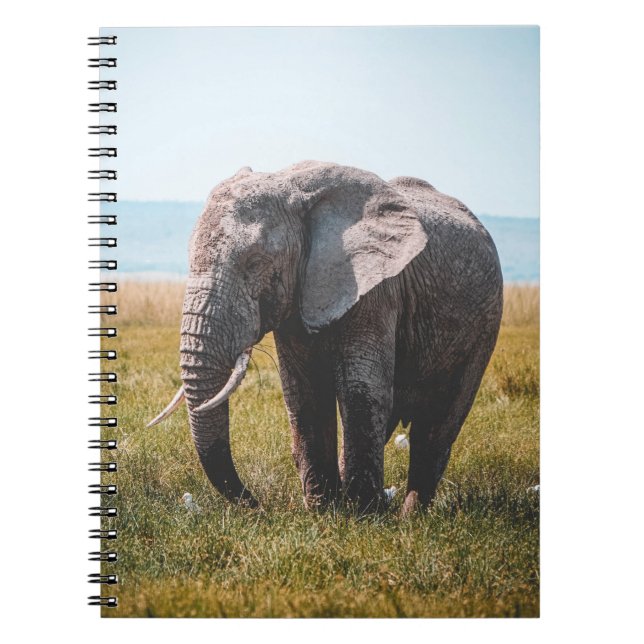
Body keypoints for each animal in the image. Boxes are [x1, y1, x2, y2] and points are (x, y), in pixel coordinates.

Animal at [148, 161, 503, 514]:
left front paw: (363, 515)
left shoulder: (377, 291)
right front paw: (323, 511)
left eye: (255, 263)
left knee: (438, 424)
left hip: (485, 321)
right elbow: (303, 392)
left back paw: (407, 516)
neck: (292, 187)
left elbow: (361, 389)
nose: (258, 506)